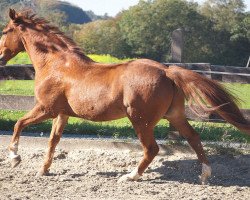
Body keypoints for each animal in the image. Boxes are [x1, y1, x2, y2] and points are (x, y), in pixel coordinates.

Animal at [0, 9, 249, 184]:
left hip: (140, 120)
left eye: (4, 32)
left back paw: (130, 176)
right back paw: (205, 175)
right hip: (175, 115)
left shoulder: (46, 109)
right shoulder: (62, 114)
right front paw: (43, 170)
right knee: (193, 138)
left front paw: (15, 158)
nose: (1, 57)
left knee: (152, 149)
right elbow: (53, 140)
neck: (56, 64)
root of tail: (167, 71)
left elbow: (19, 124)